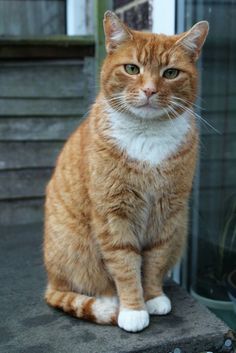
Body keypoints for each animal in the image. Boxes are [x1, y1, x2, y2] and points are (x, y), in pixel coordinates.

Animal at [43, 10, 208, 330]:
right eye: (132, 68)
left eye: (171, 73)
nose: (149, 90)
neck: (147, 135)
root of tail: (50, 278)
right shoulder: (113, 213)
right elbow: (124, 264)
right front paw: (133, 309)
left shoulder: (168, 213)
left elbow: (154, 260)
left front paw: (153, 297)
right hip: (73, 249)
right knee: (77, 286)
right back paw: (110, 301)